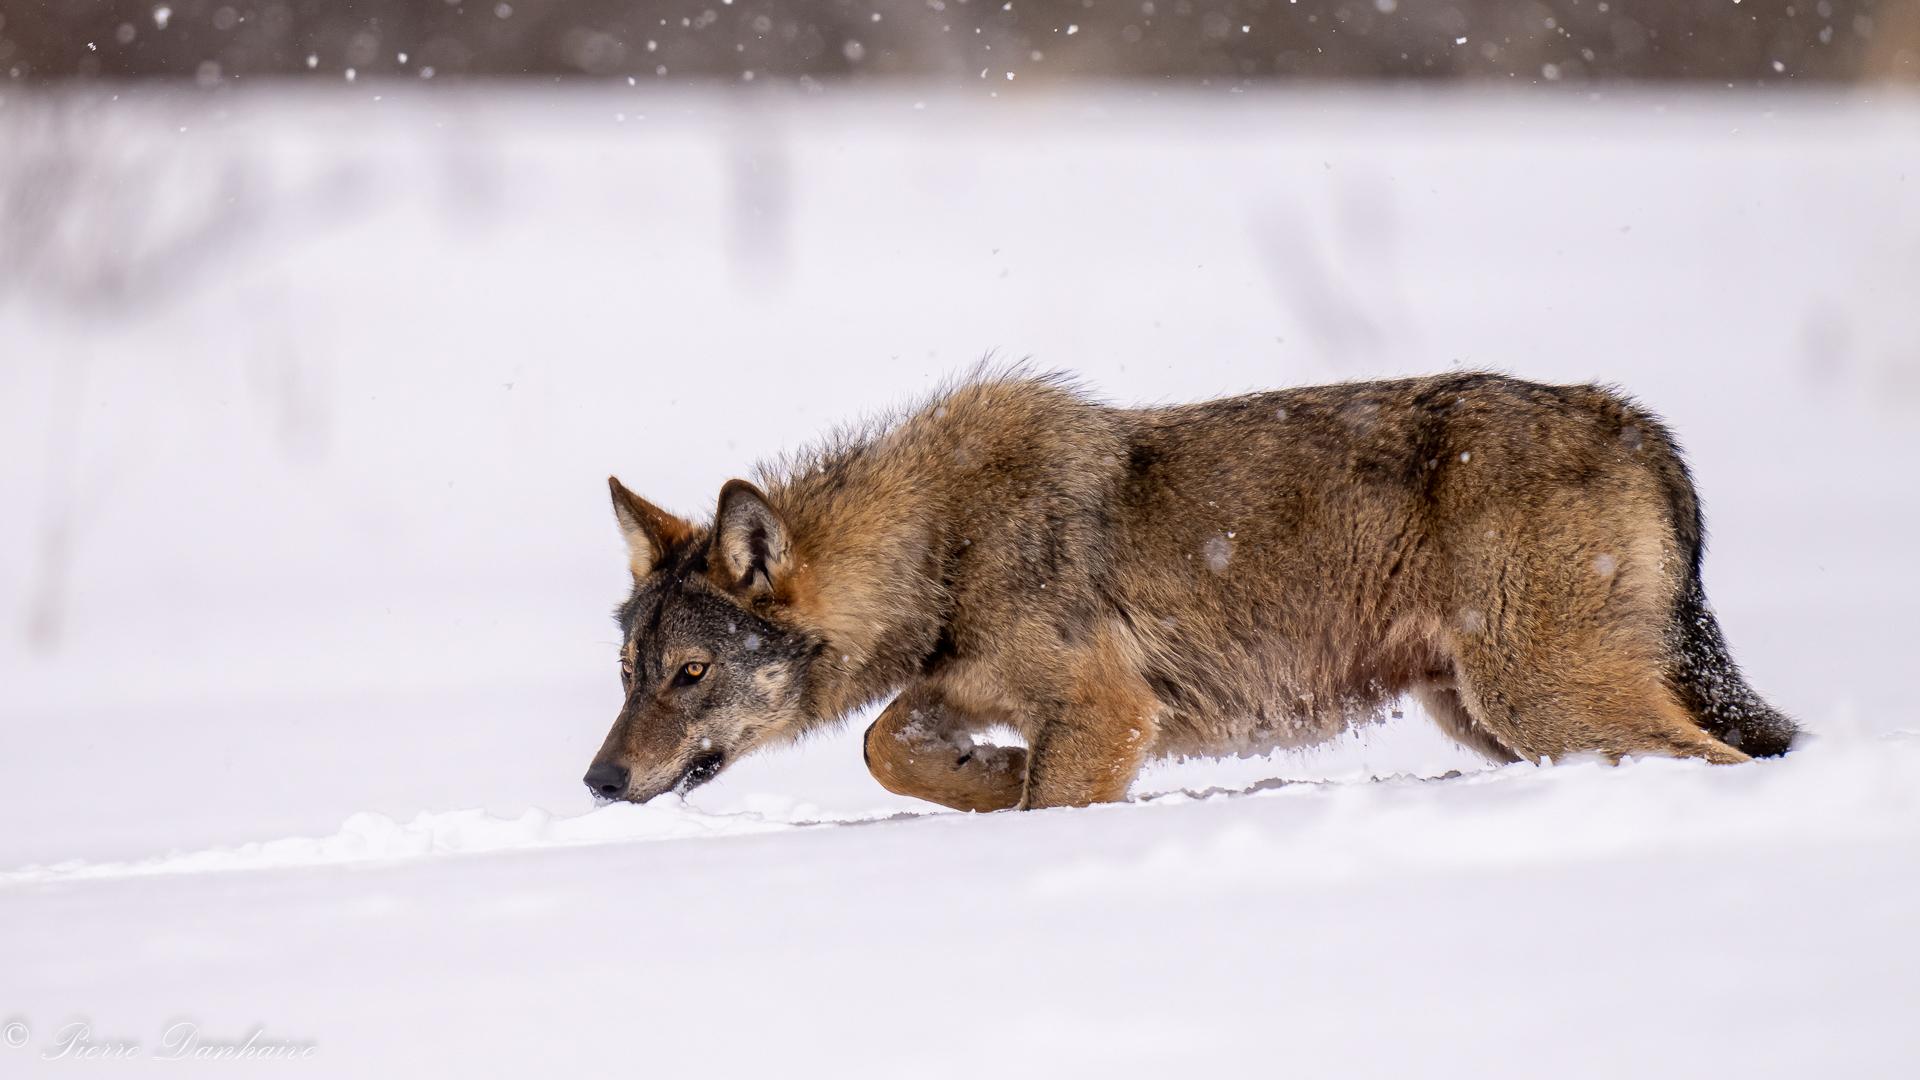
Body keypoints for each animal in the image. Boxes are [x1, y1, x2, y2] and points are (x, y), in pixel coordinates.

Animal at [576, 368, 1789, 807]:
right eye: (629, 672)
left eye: (691, 673)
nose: (597, 780)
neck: (940, 544)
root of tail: (1632, 419)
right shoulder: (972, 688)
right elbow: (888, 745)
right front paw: (990, 778)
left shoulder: (1109, 710)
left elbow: (1045, 796)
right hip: (1492, 719)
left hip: (1537, 702)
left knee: (1723, 761)